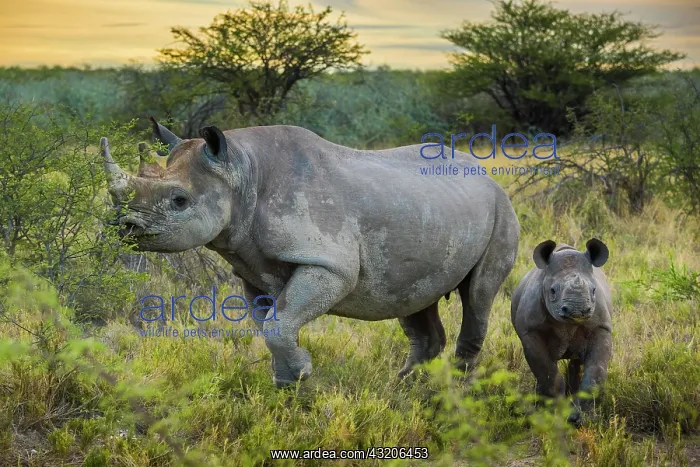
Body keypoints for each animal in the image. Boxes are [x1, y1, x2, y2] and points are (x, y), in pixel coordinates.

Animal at [100, 117, 520, 387]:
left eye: (180, 200)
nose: (126, 228)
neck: (242, 172)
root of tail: (486, 176)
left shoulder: (330, 265)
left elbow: (280, 323)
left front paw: (298, 374)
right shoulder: (251, 269)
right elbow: (271, 323)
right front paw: (287, 381)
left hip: (502, 210)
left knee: (478, 295)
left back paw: (457, 392)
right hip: (430, 211)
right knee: (414, 297)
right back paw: (405, 387)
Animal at [511, 239, 612, 426]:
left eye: (594, 290)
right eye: (552, 291)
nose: (578, 310)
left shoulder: (601, 327)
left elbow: (595, 372)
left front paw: (581, 419)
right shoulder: (530, 331)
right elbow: (548, 373)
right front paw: (553, 415)